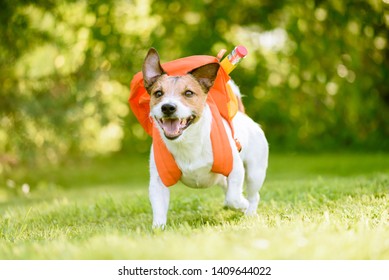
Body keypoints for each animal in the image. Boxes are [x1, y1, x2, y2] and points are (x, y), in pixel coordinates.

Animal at [141, 48, 268, 228]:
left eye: (188, 93)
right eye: (158, 93)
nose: (168, 107)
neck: (186, 142)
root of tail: (242, 115)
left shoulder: (236, 169)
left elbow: (233, 198)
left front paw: (242, 204)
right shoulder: (158, 182)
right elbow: (158, 209)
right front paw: (158, 229)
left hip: (255, 172)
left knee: (253, 195)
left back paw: (249, 211)